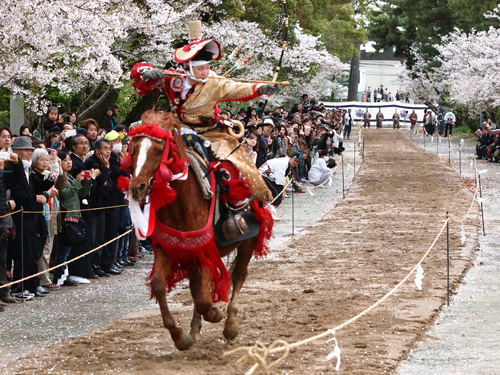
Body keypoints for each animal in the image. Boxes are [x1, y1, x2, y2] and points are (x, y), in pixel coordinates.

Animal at [121, 110, 274, 352]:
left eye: (159, 150)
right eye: (133, 149)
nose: (137, 188)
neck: (181, 202)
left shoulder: (206, 250)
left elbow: (204, 298)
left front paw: (215, 313)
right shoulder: (170, 248)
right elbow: (160, 285)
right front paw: (180, 336)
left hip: (248, 241)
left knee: (238, 276)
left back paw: (230, 325)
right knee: (196, 287)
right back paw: (194, 330)